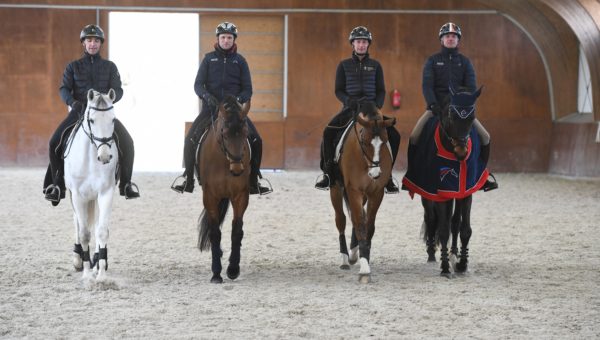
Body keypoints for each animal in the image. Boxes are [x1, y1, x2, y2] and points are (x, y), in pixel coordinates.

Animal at [65, 88, 119, 282]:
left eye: (113, 119)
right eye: (92, 120)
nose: (104, 157)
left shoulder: (105, 193)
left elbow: (101, 230)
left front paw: (101, 274)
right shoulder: (78, 195)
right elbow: (84, 233)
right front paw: (87, 274)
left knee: (94, 224)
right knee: (77, 221)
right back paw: (78, 259)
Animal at [197, 94, 251, 282]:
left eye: (245, 133)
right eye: (225, 134)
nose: (237, 169)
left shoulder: (240, 195)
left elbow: (237, 230)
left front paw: (233, 269)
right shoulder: (210, 196)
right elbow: (214, 233)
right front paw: (216, 273)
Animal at [328, 102, 398, 282]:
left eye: (384, 142)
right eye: (364, 142)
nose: (375, 174)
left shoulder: (376, 192)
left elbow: (368, 226)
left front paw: (364, 256)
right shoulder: (354, 190)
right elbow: (360, 224)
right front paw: (365, 270)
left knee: (356, 217)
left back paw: (354, 253)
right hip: (336, 190)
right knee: (341, 219)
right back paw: (345, 259)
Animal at [398, 86, 488, 278]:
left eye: (472, 118)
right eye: (451, 116)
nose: (462, 151)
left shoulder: (465, 192)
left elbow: (464, 229)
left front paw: (461, 264)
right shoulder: (438, 193)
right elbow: (443, 229)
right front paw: (445, 267)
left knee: (454, 222)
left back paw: (454, 253)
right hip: (427, 194)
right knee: (431, 219)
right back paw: (432, 254)